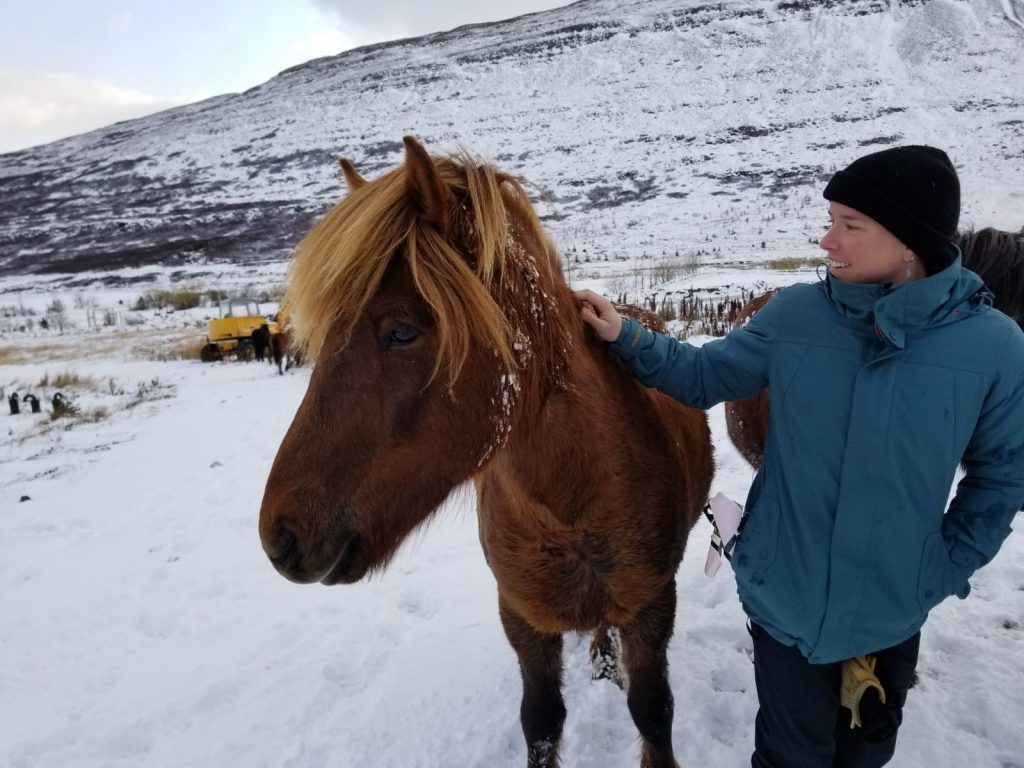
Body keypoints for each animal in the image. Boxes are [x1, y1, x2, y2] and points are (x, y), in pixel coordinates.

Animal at [260, 138, 716, 768]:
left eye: (401, 332)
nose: (279, 537)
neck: (569, 508)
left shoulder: (651, 607)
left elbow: (652, 712)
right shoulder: (521, 617)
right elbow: (541, 721)